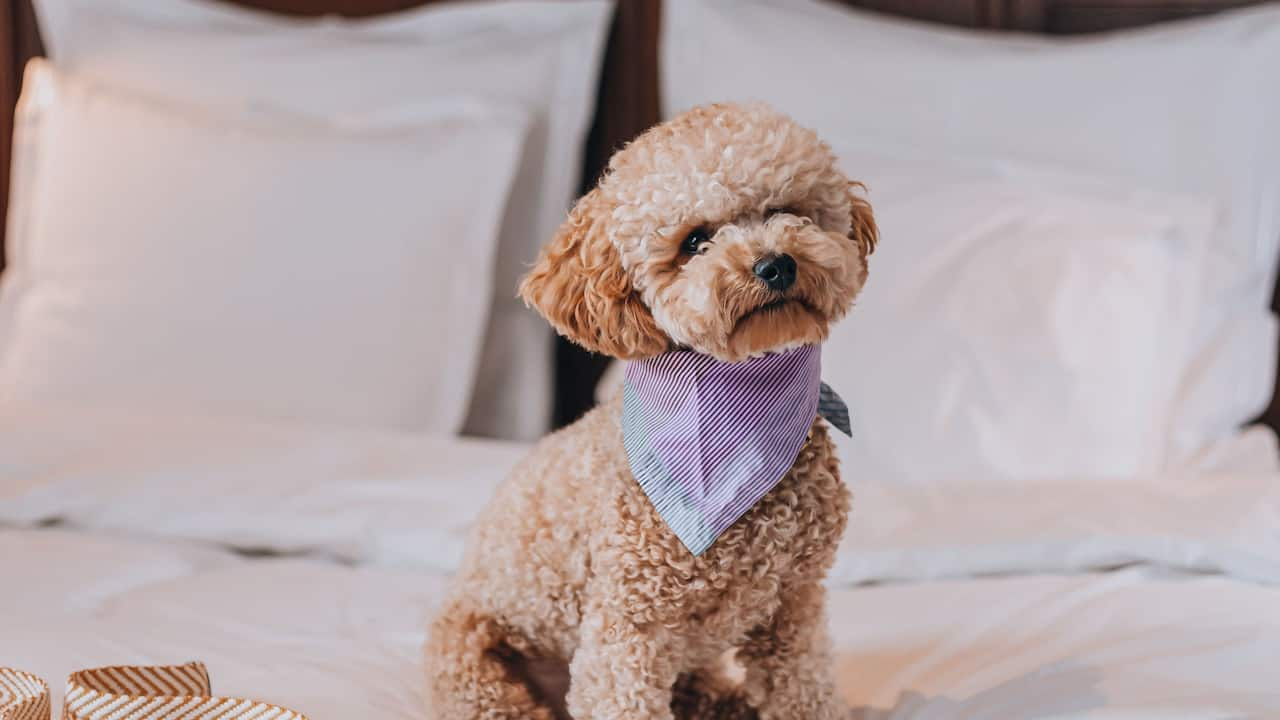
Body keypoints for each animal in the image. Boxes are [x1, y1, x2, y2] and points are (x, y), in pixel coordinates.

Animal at [424, 101, 875, 717]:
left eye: (786, 209)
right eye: (695, 241)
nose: (776, 266)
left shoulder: (794, 609)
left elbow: (805, 693)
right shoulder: (626, 630)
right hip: (477, 661)